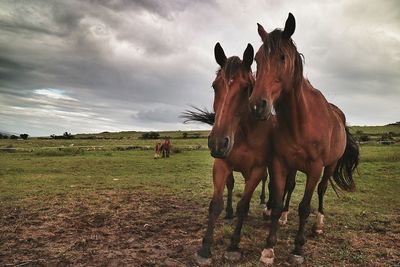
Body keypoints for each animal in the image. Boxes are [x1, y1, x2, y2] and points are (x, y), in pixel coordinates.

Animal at [184, 43, 296, 264]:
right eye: (214, 86)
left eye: (246, 88)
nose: (218, 142)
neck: (244, 132)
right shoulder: (221, 165)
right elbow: (216, 204)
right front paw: (205, 248)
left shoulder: (257, 170)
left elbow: (243, 205)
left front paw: (233, 245)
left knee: (281, 186)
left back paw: (272, 209)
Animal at [250, 13, 360, 266]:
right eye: (257, 59)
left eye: (282, 57)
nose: (257, 105)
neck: (300, 120)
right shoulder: (280, 163)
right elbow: (277, 202)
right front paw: (269, 248)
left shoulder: (315, 168)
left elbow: (305, 206)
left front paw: (298, 248)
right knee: (291, 188)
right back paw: (285, 218)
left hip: (329, 166)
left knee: (321, 191)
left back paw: (318, 225)